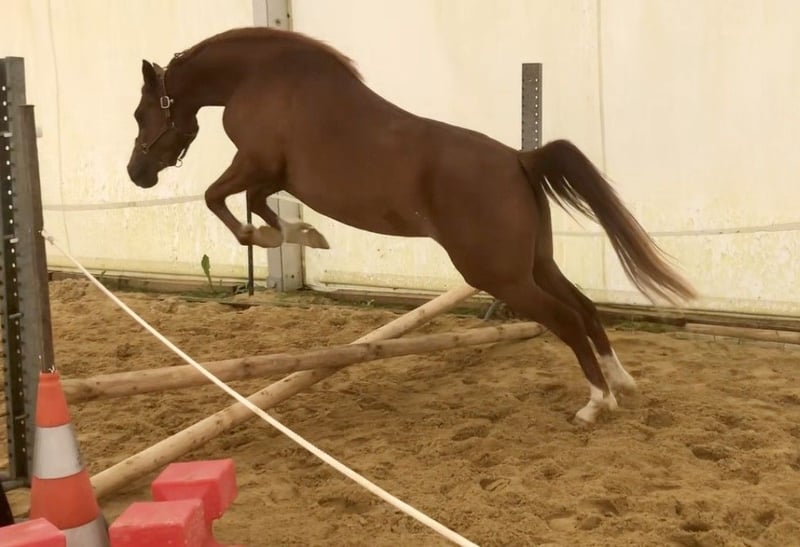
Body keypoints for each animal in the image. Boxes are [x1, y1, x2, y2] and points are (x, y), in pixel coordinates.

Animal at [126, 27, 696, 424]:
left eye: (139, 113)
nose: (137, 173)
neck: (261, 78)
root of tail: (520, 159)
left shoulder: (256, 163)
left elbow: (221, 199)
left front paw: (267, 237)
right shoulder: (269, 176)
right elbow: (258, 206)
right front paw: (308, 236)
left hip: (500, 276)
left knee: (568, 318)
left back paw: (597, 403)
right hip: (535, 264)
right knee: (586, 308)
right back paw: (623, 383)